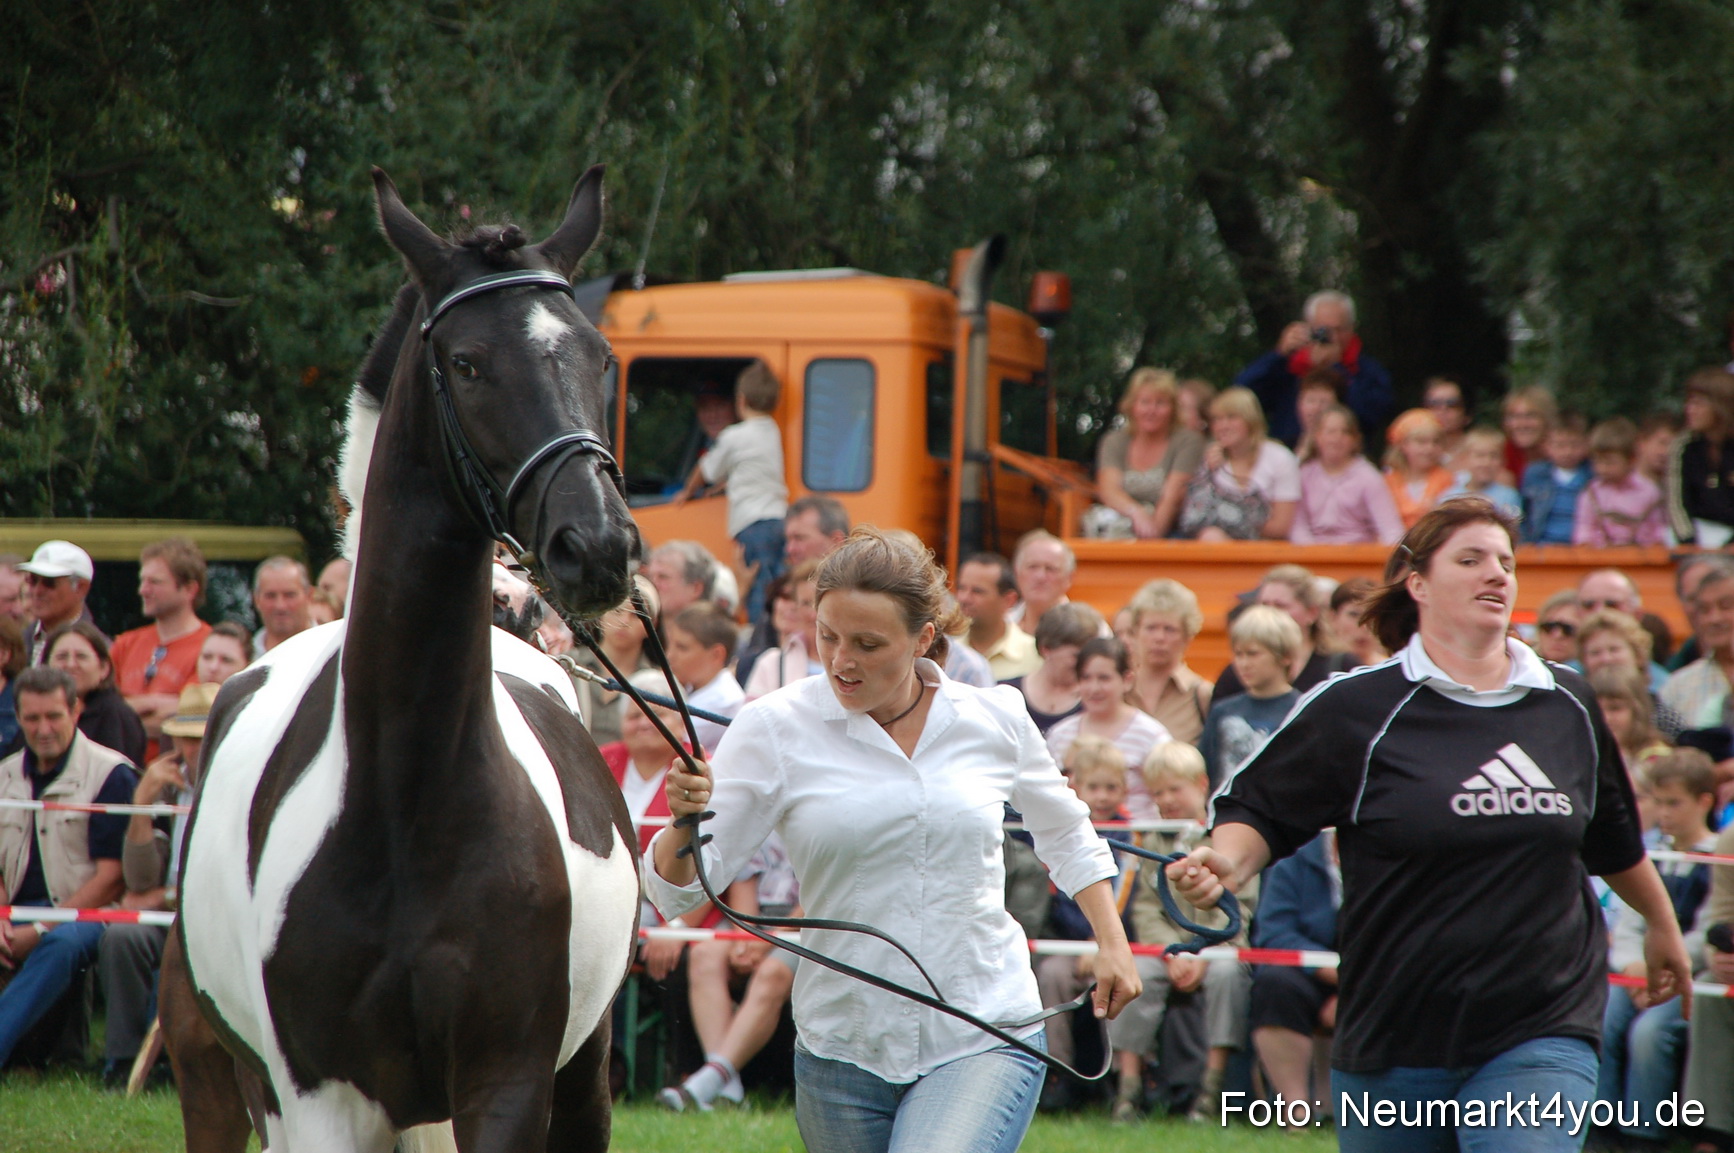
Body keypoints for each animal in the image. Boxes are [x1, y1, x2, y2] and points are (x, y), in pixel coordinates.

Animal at [161, 166, 644, 1153]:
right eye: (466, 363)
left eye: (601, 357)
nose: (597, 545)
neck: (408, 799)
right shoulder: (320, 1102)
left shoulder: (506, 1081)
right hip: (219, 1081)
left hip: (581, 1072)